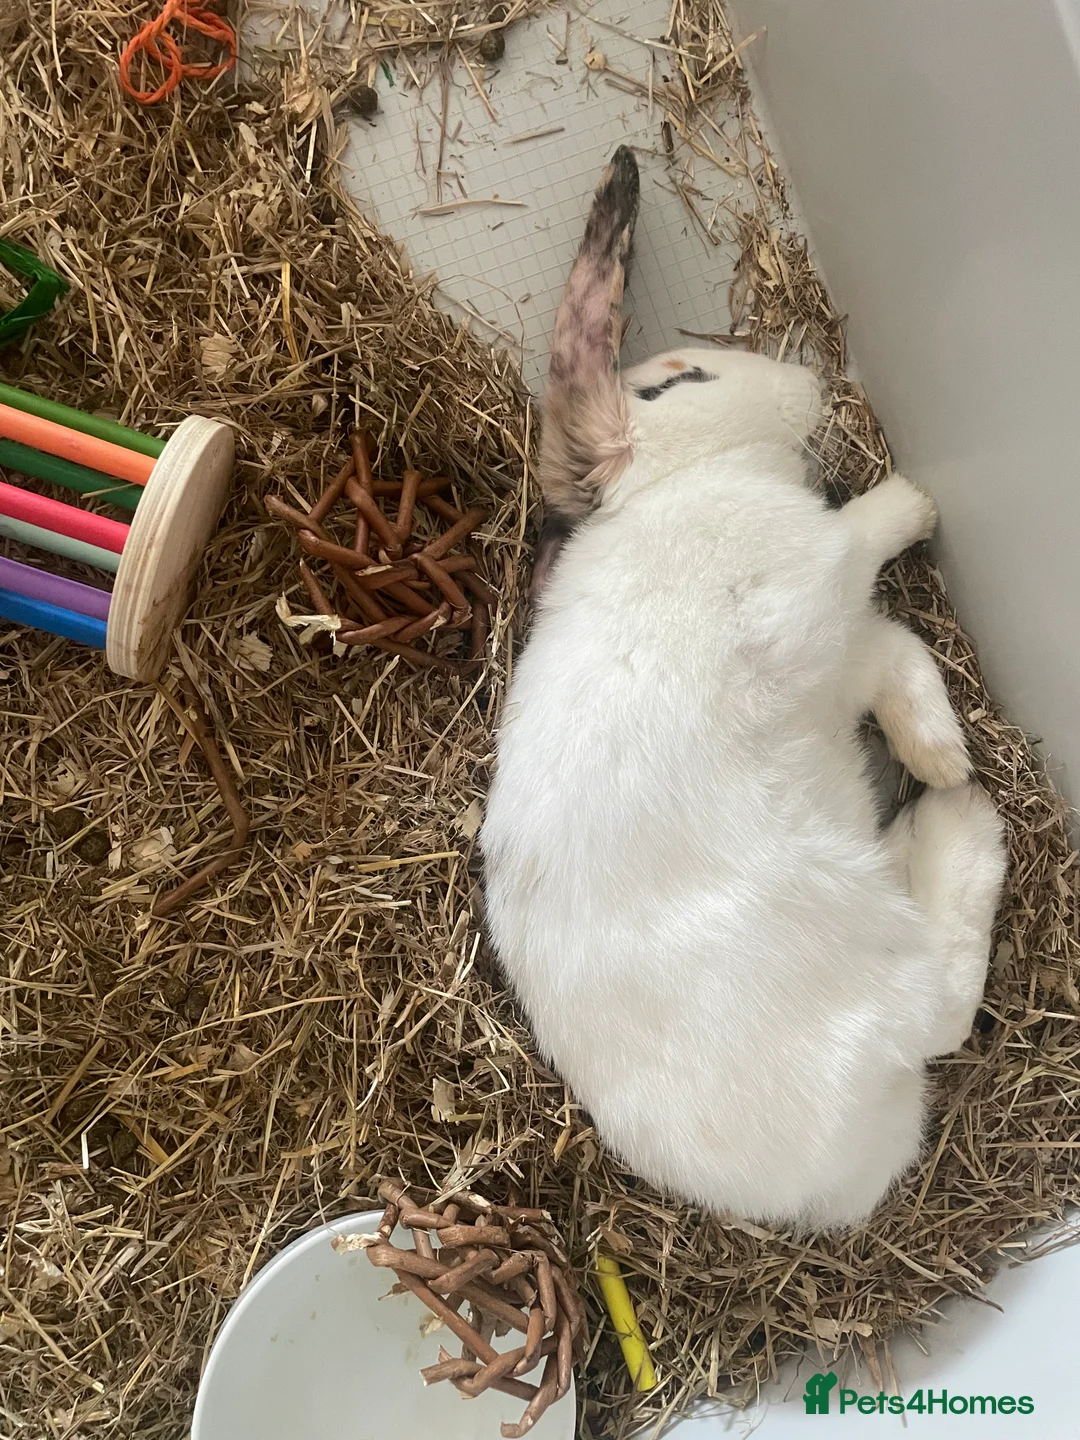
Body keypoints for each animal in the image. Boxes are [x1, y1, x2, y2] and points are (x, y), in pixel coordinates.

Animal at [479, 147, 1008, 1229]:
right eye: (681, 379)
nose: (808, 381)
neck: (674, 491)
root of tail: (832, 1181)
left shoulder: (840, 657)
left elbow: (903, 660)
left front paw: (937, 752)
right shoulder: (814, 593)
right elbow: (870, 544)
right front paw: (915, 502)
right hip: (864, 953)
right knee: (936, 1006)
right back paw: (959, 827)